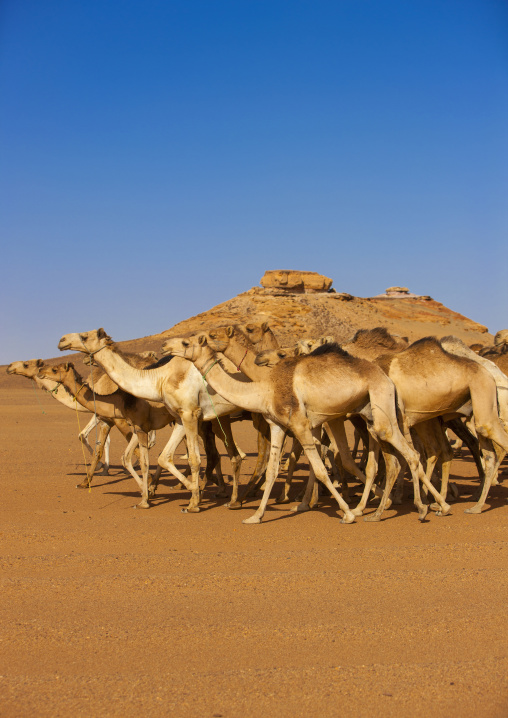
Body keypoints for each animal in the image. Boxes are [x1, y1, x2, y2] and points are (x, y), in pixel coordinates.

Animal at [57, 329, 244, 512]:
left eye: (84, 336)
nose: (62, 340)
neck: (159, 379)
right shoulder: (177, 417)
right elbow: (159, 457)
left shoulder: (188, 413)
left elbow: (187, 459)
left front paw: (190, 500)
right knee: (226, 455)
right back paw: (229, 497)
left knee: (222, 454)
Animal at [161, 334, 446, 524]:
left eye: (186, 342)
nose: (165, 345)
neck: (264, 388)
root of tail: (387, 378)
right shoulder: (277, 425)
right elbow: (272, 470)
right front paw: (256, 516)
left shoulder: (300, 423)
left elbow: (319, 469)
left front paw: (347, 513)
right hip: (370, 412)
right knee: (396, 457)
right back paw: (417, 507)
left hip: (381, 405)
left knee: (410, 454)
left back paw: (423, 509)